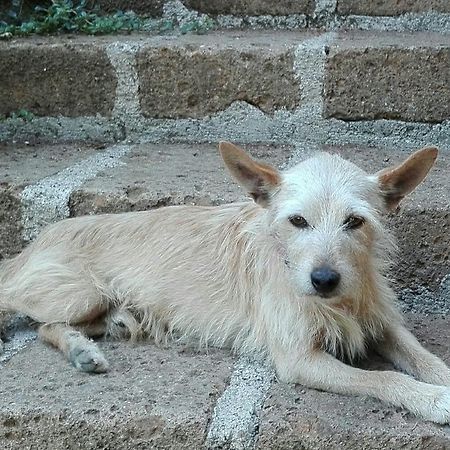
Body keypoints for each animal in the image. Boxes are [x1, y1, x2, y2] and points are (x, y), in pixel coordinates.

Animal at [0, 142, 450, 424]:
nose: (323, 280)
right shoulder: (299, 359)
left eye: (354, 221)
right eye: (297, 220)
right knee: (40, 323)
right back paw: (81, 350)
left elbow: (424, 358)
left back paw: (95, 340)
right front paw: (431, 399)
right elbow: (383, 378)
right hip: (81, 294)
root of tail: (32, 245)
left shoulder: (383, 323)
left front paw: (438, 379)